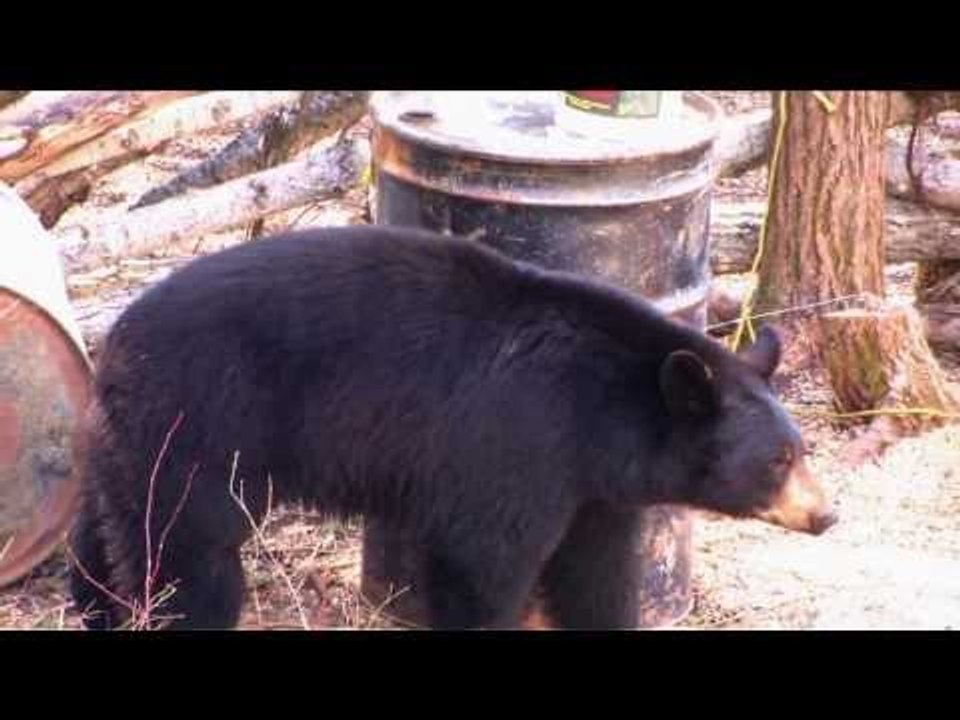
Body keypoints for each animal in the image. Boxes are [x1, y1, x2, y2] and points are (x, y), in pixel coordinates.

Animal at [68, 225, 837, 630]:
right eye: (778, 459)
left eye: (802, 450)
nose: (826, 515)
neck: (602, 413)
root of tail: (116, 343)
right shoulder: (519, 441)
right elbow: (484, 560)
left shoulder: (594, 487)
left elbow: (597, 568)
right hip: (199, 430)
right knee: (188, 557)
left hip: (123, 446)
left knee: (105, 537)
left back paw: (94, 607)